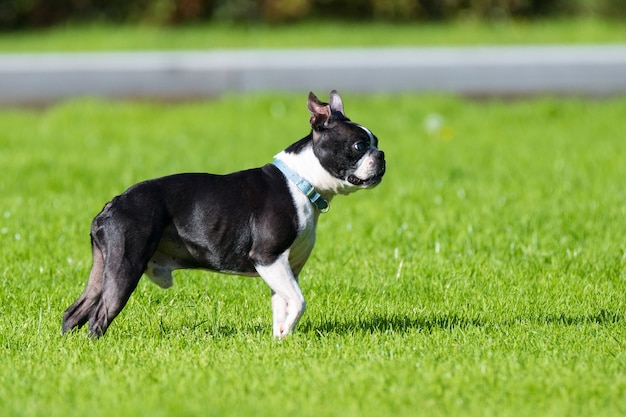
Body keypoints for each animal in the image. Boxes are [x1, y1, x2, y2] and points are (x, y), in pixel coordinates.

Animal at [64, 90, 386, 338]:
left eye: (377, 142)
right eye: (359, 145)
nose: (382, 155)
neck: (302, 182)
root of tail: (112, 205)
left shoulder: (285, 269)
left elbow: (282, 305)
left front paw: (280, 339)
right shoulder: (269, 259)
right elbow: (298, 300)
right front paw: (286, 333)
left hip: (104, 266)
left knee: (75, 311)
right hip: (125, 265)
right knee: (99, 316)